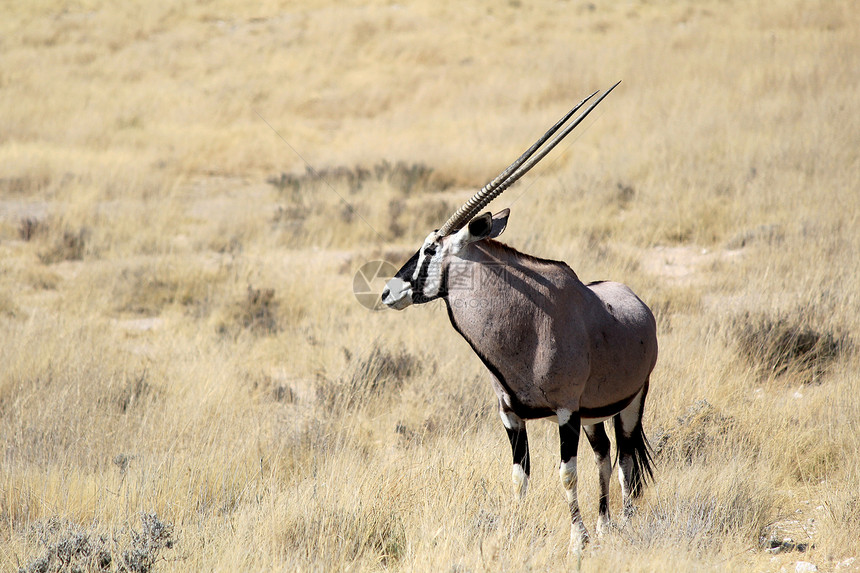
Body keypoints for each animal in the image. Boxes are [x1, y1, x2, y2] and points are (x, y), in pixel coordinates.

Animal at [380, 82, 656, 552]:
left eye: (431, 248)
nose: (387, 292)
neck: (527, 327)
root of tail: (637, 301)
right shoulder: (511, 416)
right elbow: (519, 478)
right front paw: (514, 532)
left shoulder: (565, 412)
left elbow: (566, 475)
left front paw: (577, 541)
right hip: (594, 415)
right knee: (605, 455)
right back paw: (605, 524)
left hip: (631, 403)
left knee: (626, 460)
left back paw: (624, 523)